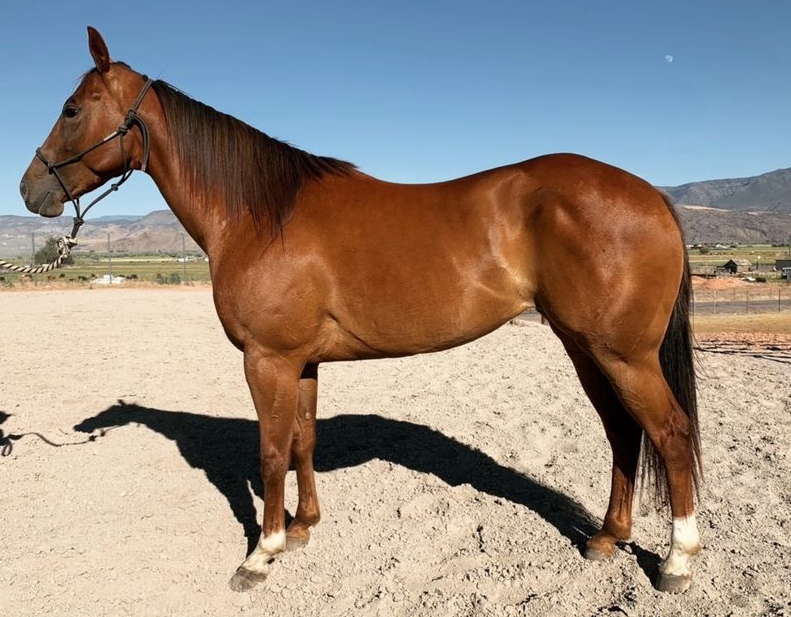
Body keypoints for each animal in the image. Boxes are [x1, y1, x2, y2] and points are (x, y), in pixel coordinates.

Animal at [20, 27, 702, 594]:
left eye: (71, 108)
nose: (30, 189)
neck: (260, 215)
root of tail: (652, 195)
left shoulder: (266, 360)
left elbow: (270, 451)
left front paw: (261, 554)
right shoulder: (301, 362)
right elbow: (302, 439)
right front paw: (302, 527)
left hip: (623, 354)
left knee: (669, 431)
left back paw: (677, 562)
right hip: (585, 347)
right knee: (622, 431)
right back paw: (607, 538)